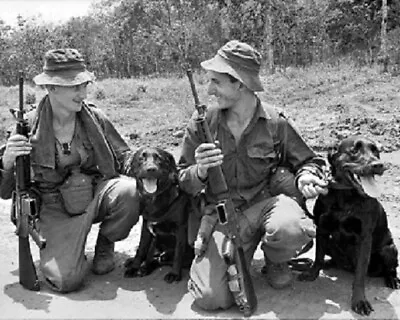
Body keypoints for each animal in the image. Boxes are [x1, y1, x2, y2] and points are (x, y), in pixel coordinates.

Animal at [122, 146, 194, 282]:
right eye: (141, 157)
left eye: (159, 158)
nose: (151, 169)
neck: (154, 199)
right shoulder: (146, 227)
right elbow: (142, 249)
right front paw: (134, 267)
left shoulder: (181, 228)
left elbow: (178, 254)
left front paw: (175, 274)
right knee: (152, 256)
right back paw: (139, 265)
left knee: (162, 259)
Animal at [298, 135, 398, 316]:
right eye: (354, 150)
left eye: (376, 151)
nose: (378, 165)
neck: (346, 195)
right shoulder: (322, 229)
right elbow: (318, 256)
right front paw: (312, 273)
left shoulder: (364, 238)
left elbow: (360, 275)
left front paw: (359, 301)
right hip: (330, 243)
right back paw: (329, 263)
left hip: (389, 249)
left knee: (390, 268)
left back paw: (392, 279)